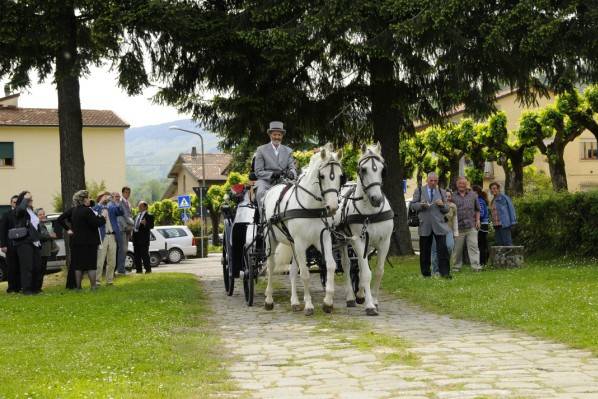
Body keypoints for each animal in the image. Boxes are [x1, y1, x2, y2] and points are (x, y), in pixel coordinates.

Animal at [264, 145, 344, 318]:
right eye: (322, 176)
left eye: (340, 176)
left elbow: (330, 266)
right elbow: (305, 274)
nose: (333, 207)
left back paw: (294, 302)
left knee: (293, 270)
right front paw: (309, 305)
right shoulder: (301, 243)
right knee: (270, 266)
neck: (310, 207)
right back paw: (269, 300)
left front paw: (328, 302)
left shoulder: (323, 239)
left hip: (293, 244)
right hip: (271, 240)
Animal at [336, 143, 396, 316]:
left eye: (382, 169)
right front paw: (370, 306)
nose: (377, 199)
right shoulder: (357, 240)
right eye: (363, 169)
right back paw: (351, 297)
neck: (371, 212)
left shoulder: (385, 242)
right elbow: (365, 273)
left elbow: (378, 271)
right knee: (347, 265)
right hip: (343, 240)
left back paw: (361, 294)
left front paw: (374, 301)